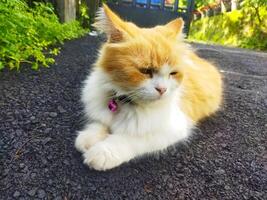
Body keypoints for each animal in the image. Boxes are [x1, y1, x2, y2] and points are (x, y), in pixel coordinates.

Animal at [74, 4, 223, 170]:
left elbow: (130, 139)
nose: (162, 90)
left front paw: (103, 151)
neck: (125, 102)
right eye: (145, 71)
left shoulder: (172, 127)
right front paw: (89, 137)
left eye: (173, 73)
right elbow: (99, 123)